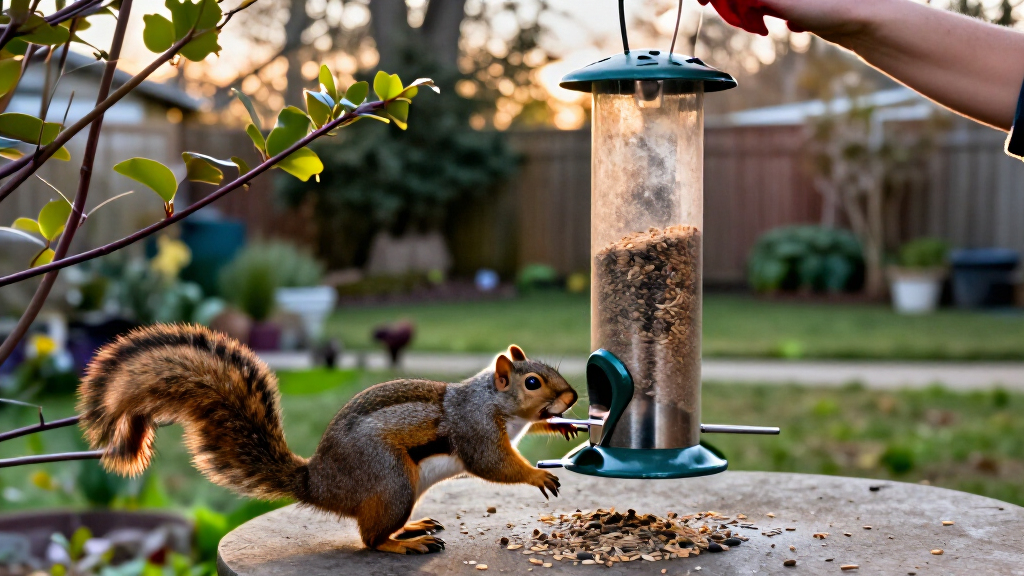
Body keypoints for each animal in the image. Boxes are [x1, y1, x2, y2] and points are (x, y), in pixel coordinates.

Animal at [77, 324, 579, 555]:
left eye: (550, 372)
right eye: (533, 382)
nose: (573, 397)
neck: (499, 405)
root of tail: (318, 484)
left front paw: (561, 425)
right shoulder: (475, 429)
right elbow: (493, 464)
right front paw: (536, 475)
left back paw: (411, 529)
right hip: (391, 482)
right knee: (370, 540)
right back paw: (403, 542)